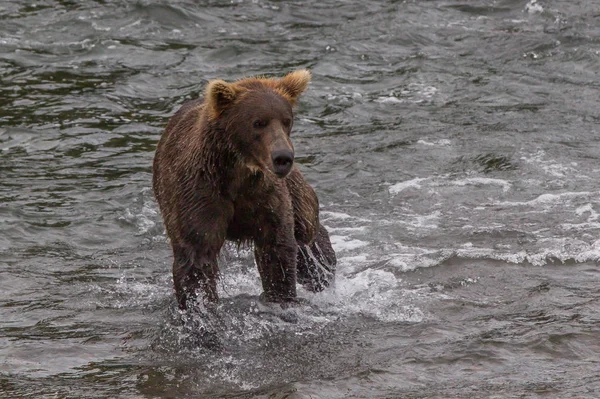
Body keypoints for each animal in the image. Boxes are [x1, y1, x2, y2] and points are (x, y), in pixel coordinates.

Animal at [152, 70, 336, 310]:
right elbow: (196, 258)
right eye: (258, 122)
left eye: (287, 121)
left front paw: (281, 298)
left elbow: (278, 248)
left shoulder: (266, 195)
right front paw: (201, 308)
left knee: (308, 233)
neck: (238, 173)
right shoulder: (199, 192)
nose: (283, 158)